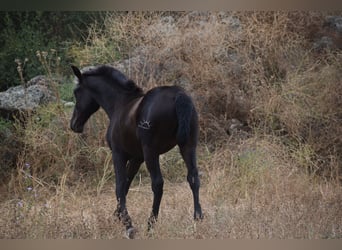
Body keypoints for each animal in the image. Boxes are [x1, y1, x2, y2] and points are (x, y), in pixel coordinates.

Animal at [70, 64, 202, 238]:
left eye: (76, 92)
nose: (74, 124)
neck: (120, 104)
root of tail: (179, 95)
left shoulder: (119, 154)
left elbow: (120, 186)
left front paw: (128, 224)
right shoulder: (136, 158)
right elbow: (126, 184)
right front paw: (117, 215)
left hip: (151, 151)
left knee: (158, 184)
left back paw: (150, 224)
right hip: (188, 146)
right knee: (193, 177)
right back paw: (198, 218)